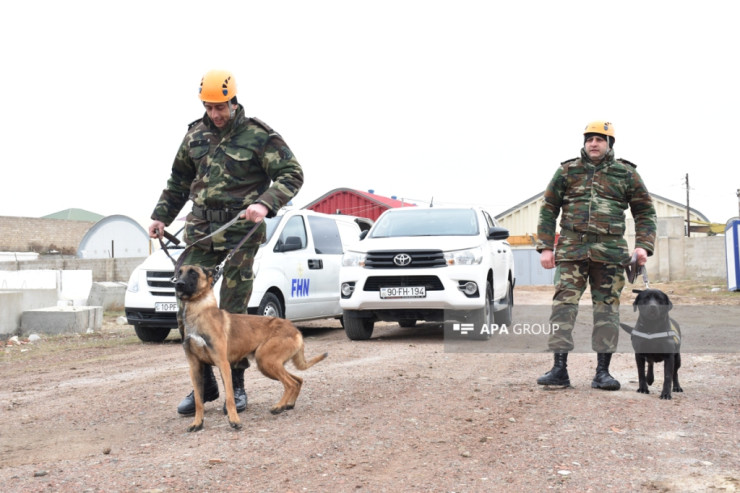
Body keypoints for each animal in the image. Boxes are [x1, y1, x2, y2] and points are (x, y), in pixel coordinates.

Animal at [174, 265, 327, 432]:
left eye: (193, 273)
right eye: (179, 272)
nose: (178, 284)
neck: (198, 310)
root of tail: (295, 329)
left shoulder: (223, 364)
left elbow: (230, 398)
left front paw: (234, 420)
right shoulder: (195, 367)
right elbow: (198, 401)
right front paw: (197, 422)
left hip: (265, 361)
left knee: (291, 383)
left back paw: (279, 406)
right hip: (270, 364)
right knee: (298, 380)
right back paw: (289, 404)